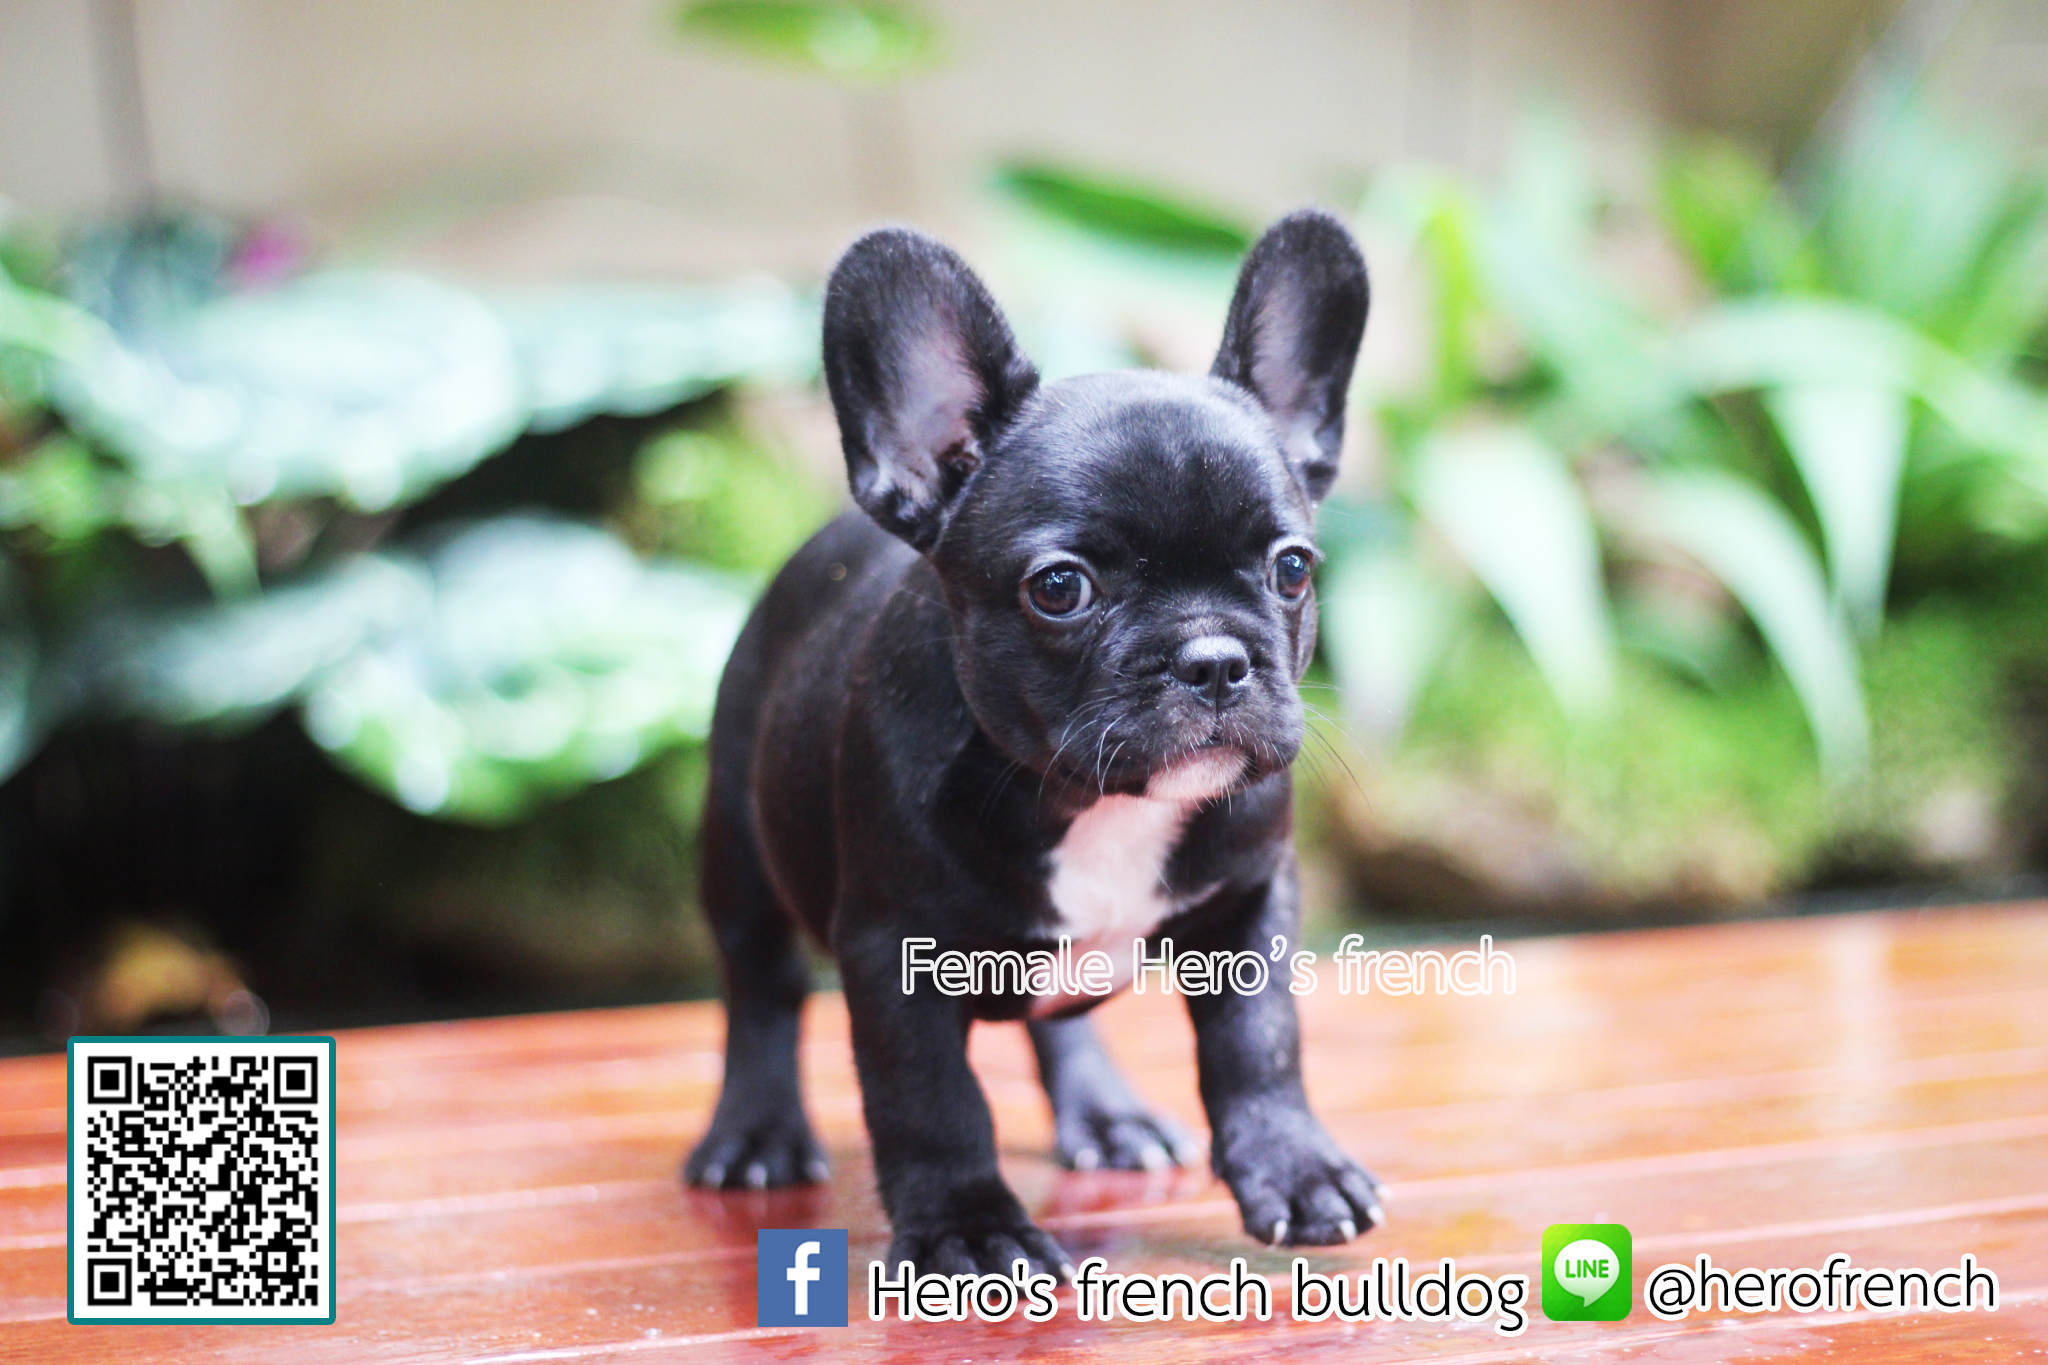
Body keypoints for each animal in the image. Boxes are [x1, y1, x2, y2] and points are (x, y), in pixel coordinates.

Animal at [685, 209, 1381, 1277]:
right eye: (1060, 588)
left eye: (1292, 568)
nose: (1215, 659)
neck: (1096, 802)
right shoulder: (894, 951)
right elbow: (930, 1098)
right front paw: (966, 1223)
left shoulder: (1255, 898)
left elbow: (1260, 1043)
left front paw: (1295, 1167)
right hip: (739, 846)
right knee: (759, 990)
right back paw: (757, 1134)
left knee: (1058, 1026)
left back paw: (1105, 1114)